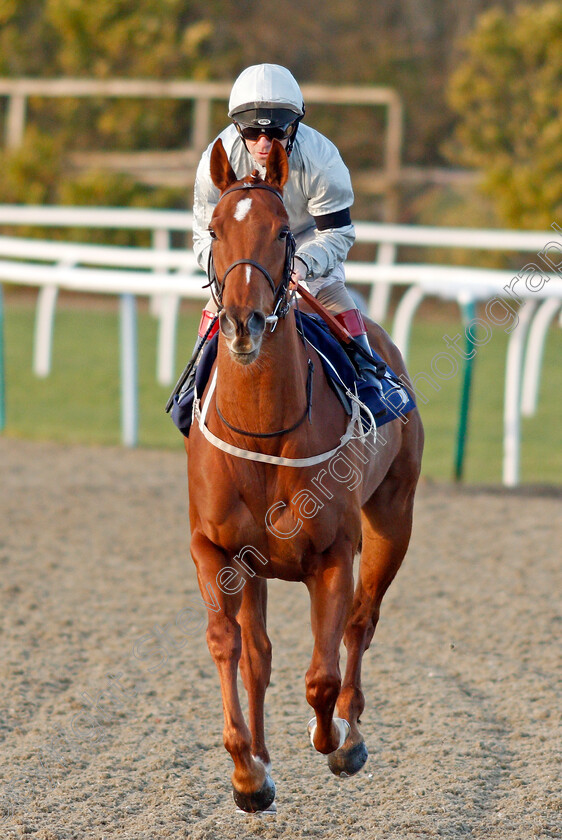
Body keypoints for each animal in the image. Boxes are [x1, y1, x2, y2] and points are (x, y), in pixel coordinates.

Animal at [184, 139, 420, 812]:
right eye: (215, 229)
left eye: (284, 232)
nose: (242, 323)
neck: (263, 431)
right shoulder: (214, 549)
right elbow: (229, 645)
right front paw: (248, 772)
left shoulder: (334, 553)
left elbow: (321, 676)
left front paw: (333, 738)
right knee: (259, 655)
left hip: (394, 518)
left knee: (362, 621)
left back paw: (351, 734)